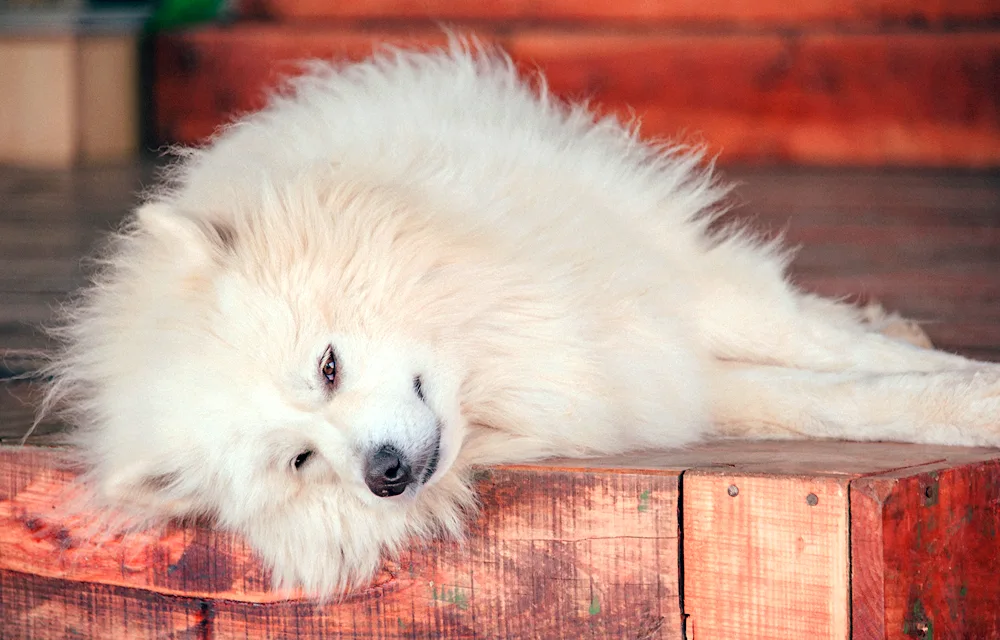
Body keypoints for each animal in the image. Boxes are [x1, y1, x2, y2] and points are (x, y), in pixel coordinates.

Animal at [43, 42, 1000, 596]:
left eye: (326, 366)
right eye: (301, 460)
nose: (386, 474)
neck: (495, 352)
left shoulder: (676, 287)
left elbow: (836, 352)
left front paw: (967, 388)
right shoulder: (654, 380)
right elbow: (825, 396)